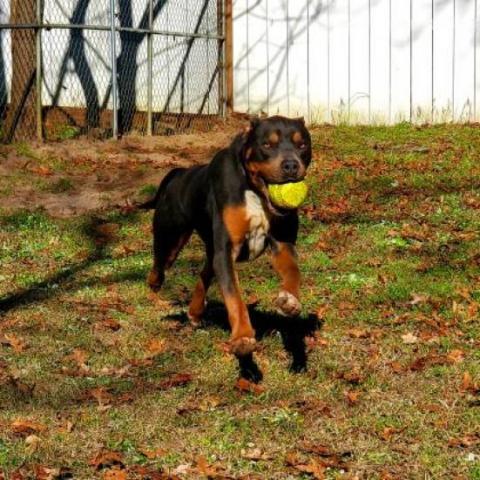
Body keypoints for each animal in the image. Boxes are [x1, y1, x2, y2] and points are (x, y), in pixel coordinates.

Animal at [140, 115, 312, 378]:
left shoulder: (283, 243)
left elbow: (293, 271)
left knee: (204, 274)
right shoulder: (226, 251)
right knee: (159, 265)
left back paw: (195, 311)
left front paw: (289, 300)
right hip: (171, 237)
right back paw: (155, 286)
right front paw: (242, 338)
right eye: (267, 145)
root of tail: (181, 172)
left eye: (302, 145)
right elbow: (234, 298)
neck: (255, 192)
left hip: (210, 251)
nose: (291, 165)